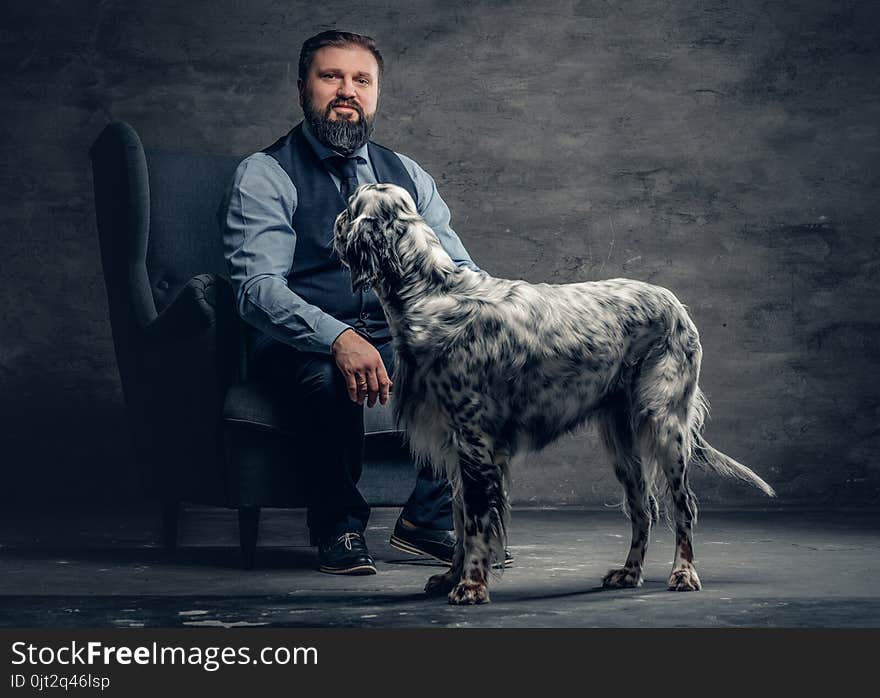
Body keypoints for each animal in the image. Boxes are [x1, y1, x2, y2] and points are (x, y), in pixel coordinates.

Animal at [332, 182, 776, 600]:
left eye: (351, 207)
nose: (336, 223)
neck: (432, 293)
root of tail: (675, 303)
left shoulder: (475, 441)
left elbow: (475, 523)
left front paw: (472, 586)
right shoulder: (457, 447)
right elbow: (459, 518)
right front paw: (452, 577)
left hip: (665, 425)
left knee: (683, 507)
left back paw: (683, 574)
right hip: (621, 443)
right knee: (643, 509)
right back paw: (629, 572)